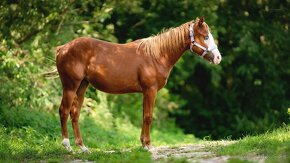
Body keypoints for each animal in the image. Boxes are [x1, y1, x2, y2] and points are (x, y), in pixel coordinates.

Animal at [55, 16, 221, 152]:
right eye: (206, 36)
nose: (218, 58)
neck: (156, 55)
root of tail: (62, 48)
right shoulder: (150, 90)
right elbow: (148, 116)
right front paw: (147, 145)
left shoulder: (146, 92)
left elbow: (144, 115)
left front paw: (143, 143)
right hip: (70, 87)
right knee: (64, 111)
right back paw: (67, 146)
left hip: (82, 86)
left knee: (74, 113)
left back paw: (82, 147)